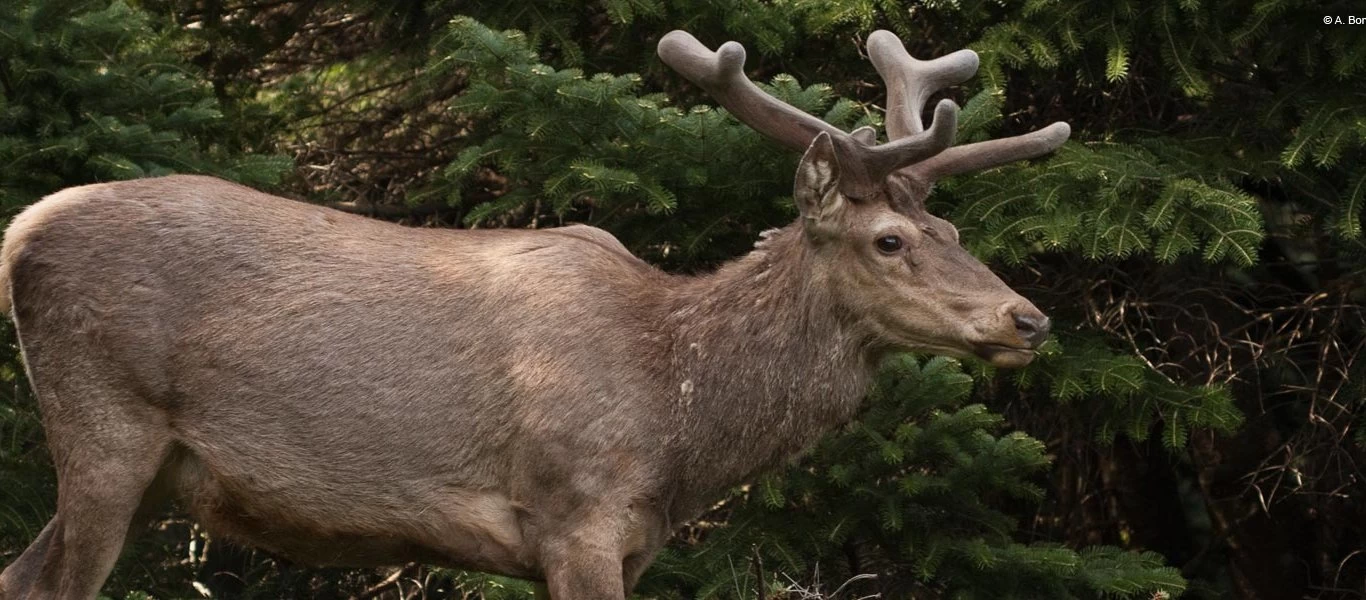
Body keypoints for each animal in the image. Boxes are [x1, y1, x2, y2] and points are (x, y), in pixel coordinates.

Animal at [0, 28, 1068, 600]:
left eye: (951, 225)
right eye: (887, 240)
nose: (1028, 320)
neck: (681, 420)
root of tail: (20, 234)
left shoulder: (629, 542)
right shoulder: (573, 512)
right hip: (102, 424)